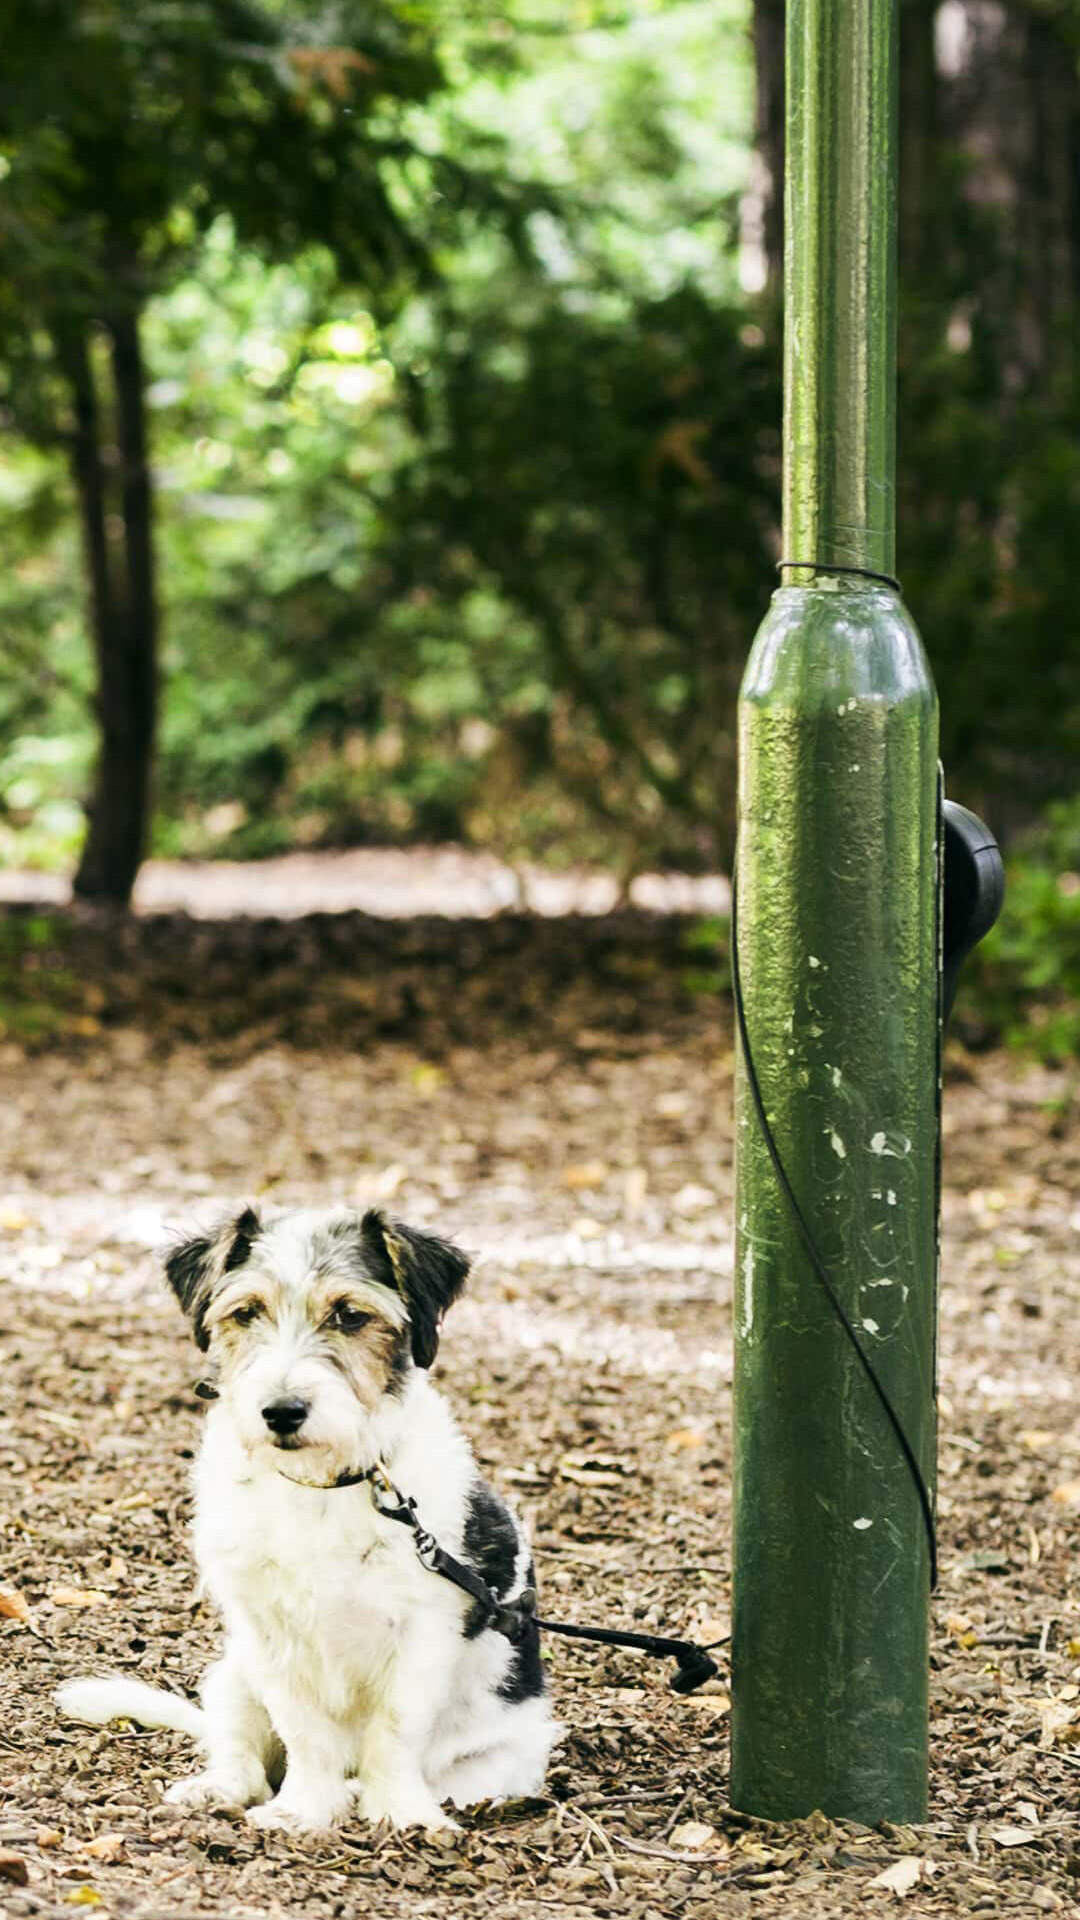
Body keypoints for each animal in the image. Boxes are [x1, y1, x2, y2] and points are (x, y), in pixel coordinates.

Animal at [52, 1205, 553, 1835]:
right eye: (246, 1311)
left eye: (350, 1314)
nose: (282, 1412)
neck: (322, 1484)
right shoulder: (269, 1632)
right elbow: (304, 1730)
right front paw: (305, 1809)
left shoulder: (423, 1632)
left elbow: (396, 1728)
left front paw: (401, 1812)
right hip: (234, 1674)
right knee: (244, 1761)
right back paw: (220, 1788)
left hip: (507, 1752)